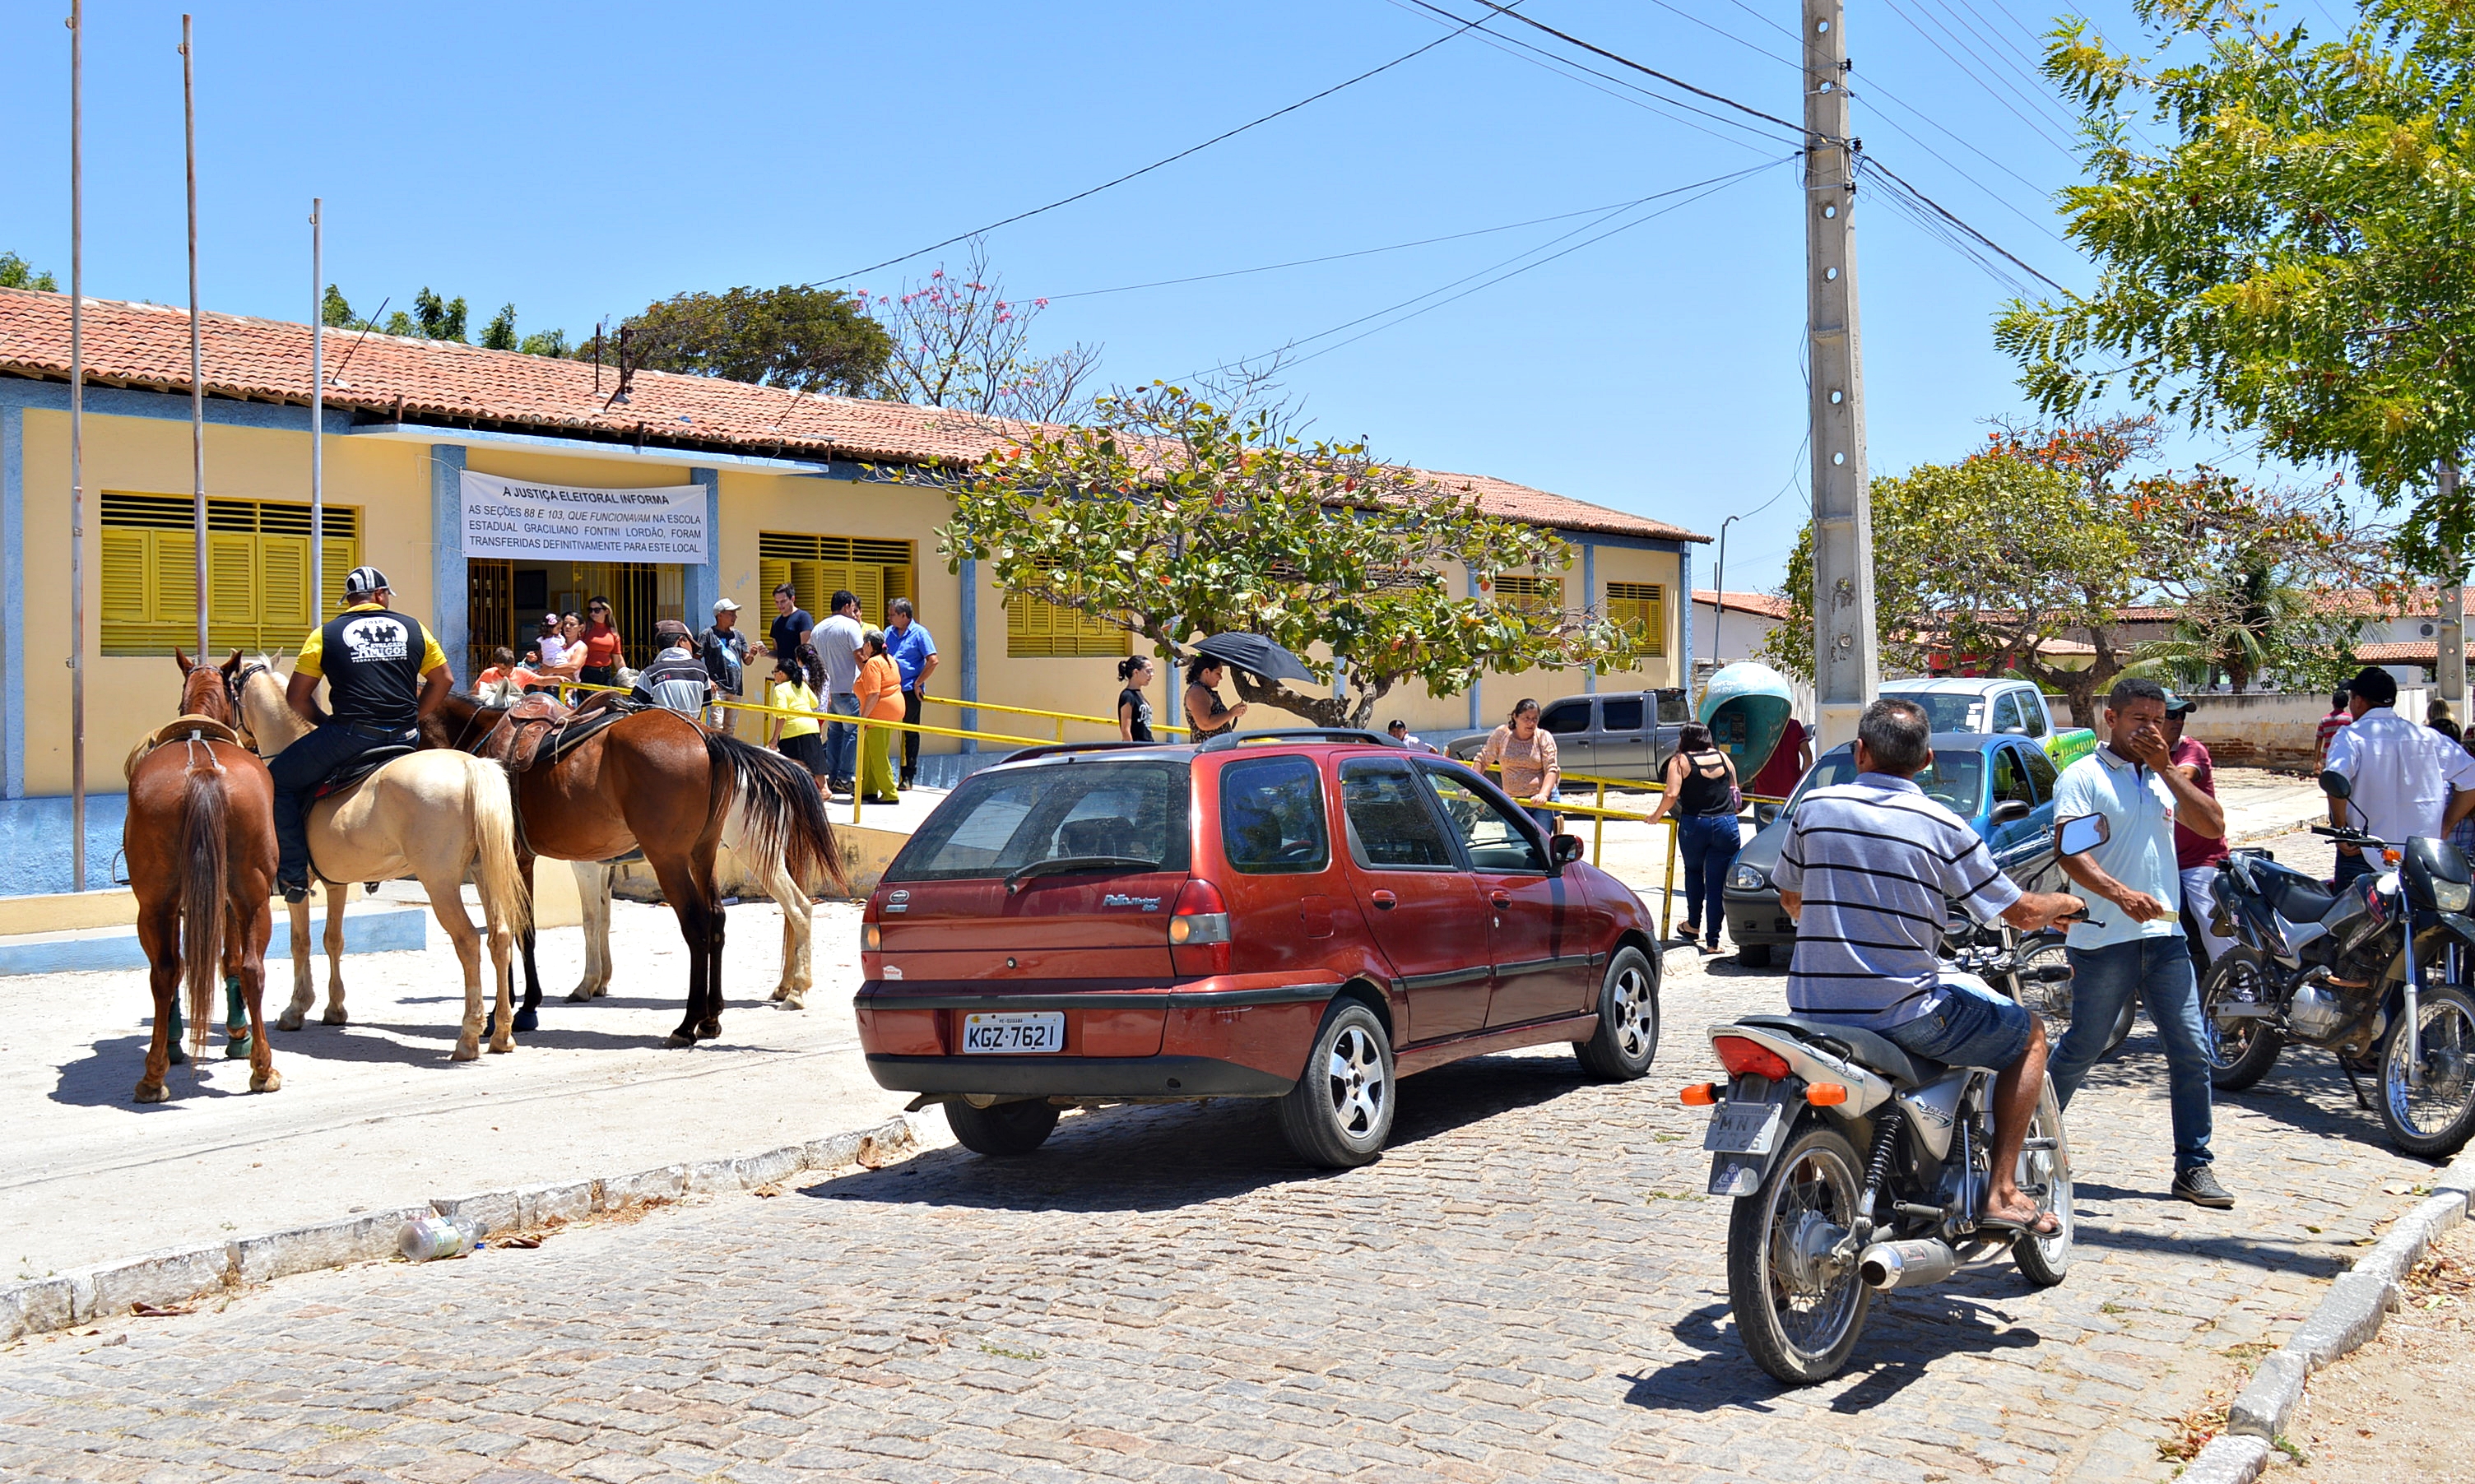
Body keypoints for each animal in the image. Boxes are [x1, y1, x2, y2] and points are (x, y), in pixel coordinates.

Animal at [126, 652, 283, 1102]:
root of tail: (202, 770)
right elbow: (229, 963)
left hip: (157, 905)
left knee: (167, 971)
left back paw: (157, 1074)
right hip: (250, 898)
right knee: (248, 969)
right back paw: (261, 1069)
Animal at [234, 657, 529, 1053]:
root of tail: (472, 766)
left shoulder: (299, 882)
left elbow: (301, 942)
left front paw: (296, 1009)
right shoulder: (336, 883)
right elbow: (333, 940)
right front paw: (334, 1009)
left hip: (440, 883)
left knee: (468, 940)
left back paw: (468, 1036)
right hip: (484, 874)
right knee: (500, 937)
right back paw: (500, 1033)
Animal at [420, 692, 846, 1043]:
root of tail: (709, 737)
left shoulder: (523, 860)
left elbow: (530, 928)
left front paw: (519, 1010)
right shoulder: (584, 864)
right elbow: (592, 921)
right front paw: (591, 984)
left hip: (698, 857)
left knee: (749, 917)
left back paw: (703, 1020)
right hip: (703, 855)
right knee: (722, 919)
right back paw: (721, 1015)